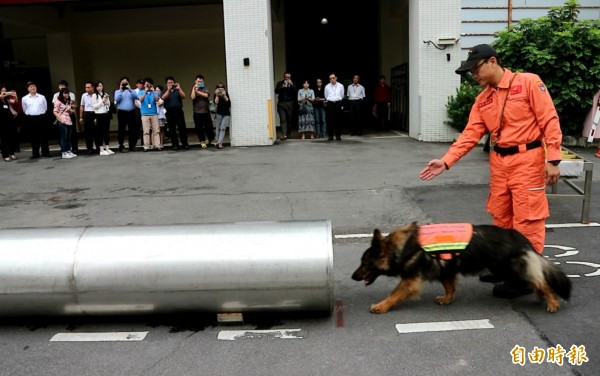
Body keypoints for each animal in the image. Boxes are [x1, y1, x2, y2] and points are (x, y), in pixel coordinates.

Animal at [352, 223, 572, 314]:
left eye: (364, 263)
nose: (353, 276)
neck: (401, 248)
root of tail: (520, 237)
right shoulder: (445, 271)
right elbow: (449, 287)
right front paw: (447, 299)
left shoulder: (410, 280)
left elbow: (394, 294)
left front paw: (381, 306)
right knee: (538, 281)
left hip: (510, 268)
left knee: (542, 282)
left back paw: (552, 301)